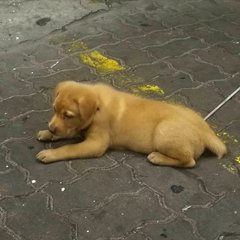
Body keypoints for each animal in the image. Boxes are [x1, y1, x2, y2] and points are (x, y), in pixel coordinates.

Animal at [36, 80, 228, 167]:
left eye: (68, 115)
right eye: (54, 110)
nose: (50, 127)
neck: (97, 107)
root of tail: (206, 132)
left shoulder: (96, 143)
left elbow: (70, 148)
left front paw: (50, 154)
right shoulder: (80, 127)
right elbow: (68, 132)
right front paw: (47, 133)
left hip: (164, 132)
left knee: (189, 161)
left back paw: (157, 157)